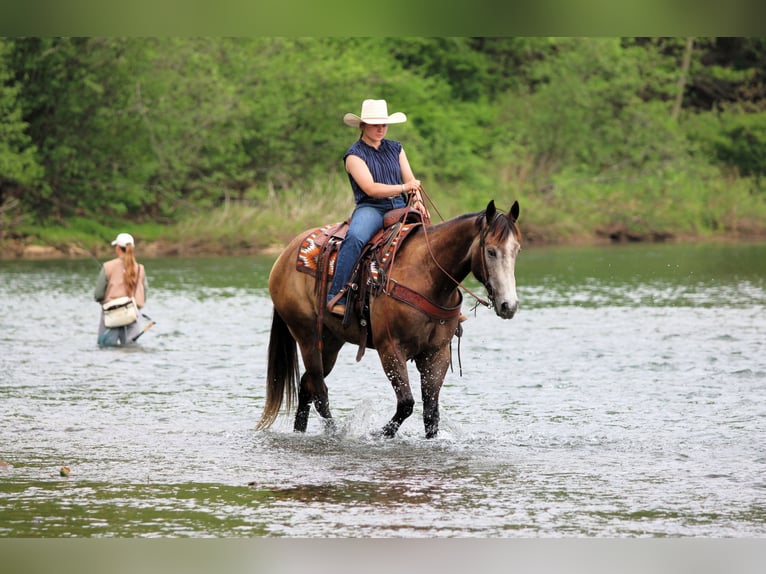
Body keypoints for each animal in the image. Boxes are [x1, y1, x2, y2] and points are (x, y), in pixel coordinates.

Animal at [256, 199, 521, 438]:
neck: (428, 275)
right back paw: (336, 433)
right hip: (307, 336)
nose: (509, 306)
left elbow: (431, 413)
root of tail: (285, 255)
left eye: (517, 250)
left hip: (330, 341)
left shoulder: (437, 353)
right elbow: (406, 404)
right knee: (319, 391)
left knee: (307, 386)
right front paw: (379, 434)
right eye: (490, 251)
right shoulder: (391, 349)